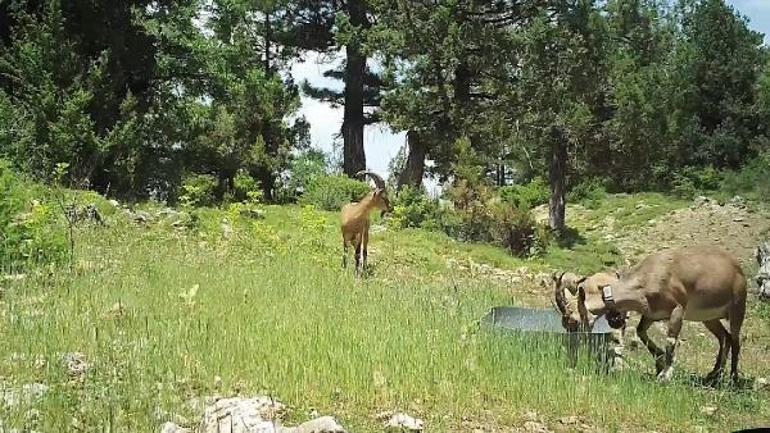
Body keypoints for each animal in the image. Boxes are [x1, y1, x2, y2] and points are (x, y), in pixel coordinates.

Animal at [556, 245, 748, 384]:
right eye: (564, 323)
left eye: (574, 320)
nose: (571, 349)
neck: (650, 276)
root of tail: (737, 267)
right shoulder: (651, 313)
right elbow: (641, 332)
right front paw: (659, 361)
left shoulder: (677, 309)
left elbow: (670, 341)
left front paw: (665, 374)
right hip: (709, 318)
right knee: (724, 338)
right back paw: (714, 374)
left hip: (738, 307)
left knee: (735, 339)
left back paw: (733, 377)